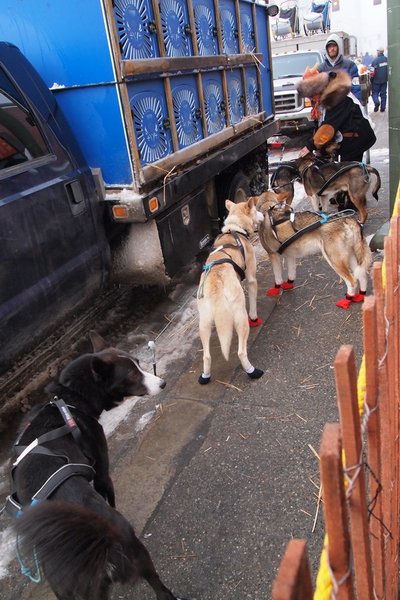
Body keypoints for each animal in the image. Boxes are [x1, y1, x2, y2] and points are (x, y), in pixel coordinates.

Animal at [7, 330, 186, 600]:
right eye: (132, 374)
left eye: (139, 363)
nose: (162, 383)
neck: (71, 400)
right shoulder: (102, 472)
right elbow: (108, 493)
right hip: (137, 553)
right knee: (160, 587)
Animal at [196, 198, 264, 384]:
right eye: (255, 210)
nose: (263, 214)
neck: (235, 229)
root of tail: (216, 285)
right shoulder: (251, 279)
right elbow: (253, 303)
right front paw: (255, 317)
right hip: (240, 317)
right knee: (241, 352)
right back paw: (252, 371)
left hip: (204, 323)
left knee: (206, 356)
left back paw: (205, 376)